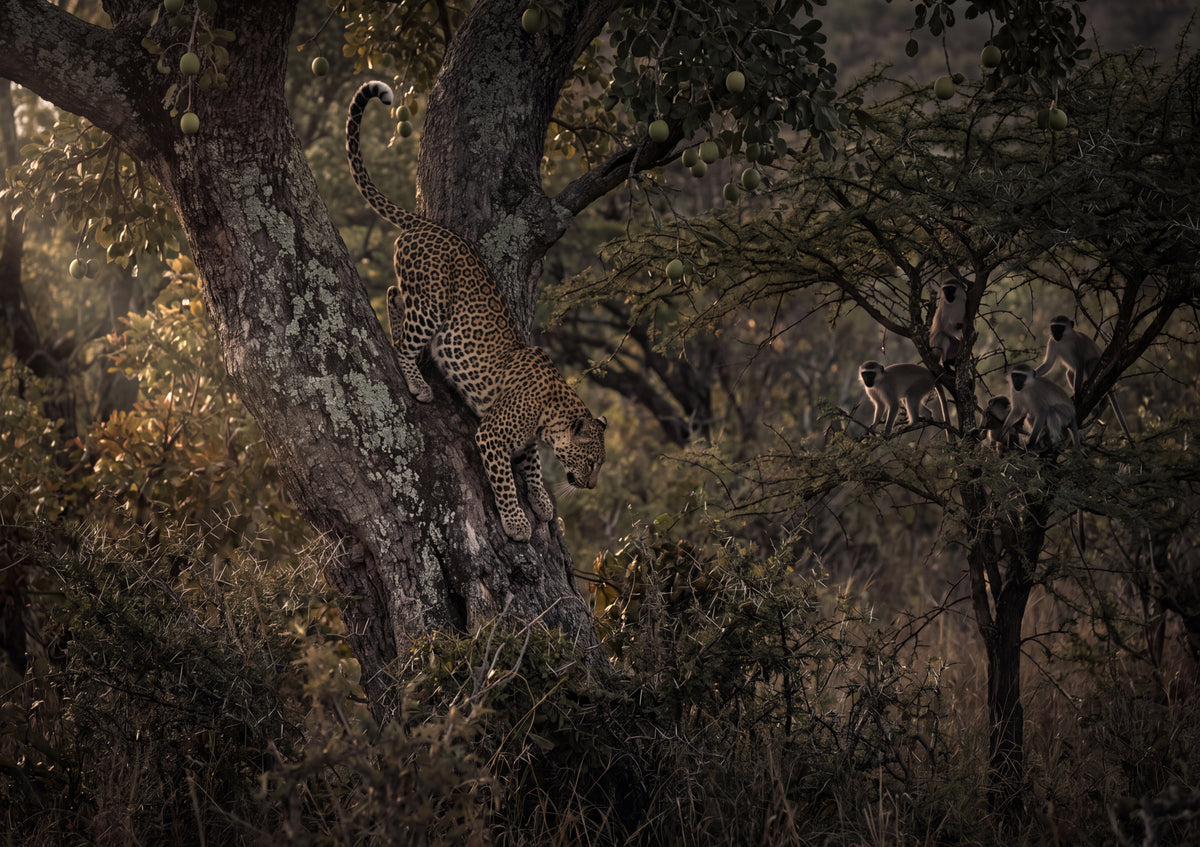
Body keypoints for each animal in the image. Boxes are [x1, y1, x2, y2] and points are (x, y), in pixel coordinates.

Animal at [346, 81, 607, 542]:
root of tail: (425, 224)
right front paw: (517, 522)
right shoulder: (492, 435)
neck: (552, 413)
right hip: (432, 304)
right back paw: (418, 384)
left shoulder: (524, 442)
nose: (592, 486)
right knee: (403, 338)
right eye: (591, 461)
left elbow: (533, 468)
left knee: (393, 293)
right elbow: (504, 482)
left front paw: (541, 502)